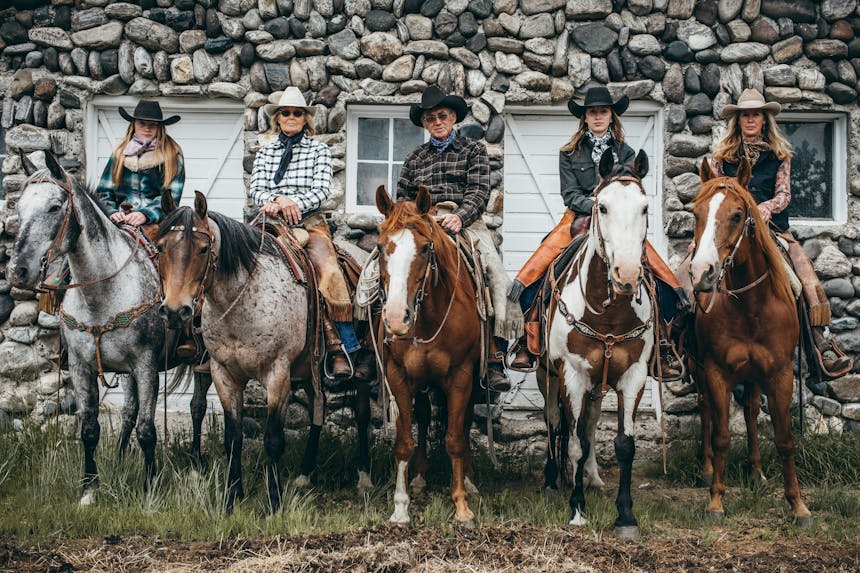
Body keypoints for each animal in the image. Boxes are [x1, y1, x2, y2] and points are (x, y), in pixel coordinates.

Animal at [7, 151, 191, 500]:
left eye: (55, 206)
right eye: (19, 208)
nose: (17, 270)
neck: (102, 292)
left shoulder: (146, 366)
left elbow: (148, 429)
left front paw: (150, 486)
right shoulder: (82, 367)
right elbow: (90, 428)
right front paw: (89, 490)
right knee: (128, 412)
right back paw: (120, 459)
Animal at [156, 191, 372, 510]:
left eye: (203, 248)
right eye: (160, 247)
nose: (174, 311)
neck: (242, 298)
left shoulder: (277, 374)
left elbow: (274, 439)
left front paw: (274, 501)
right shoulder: (223, 374)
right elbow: (233, 438)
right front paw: (231, 498)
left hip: (363, 368)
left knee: (362, 413)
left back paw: (364, 477)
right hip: (309, 370)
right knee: (317, 411)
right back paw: (305, 473)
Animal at [376, 185, 484, 524]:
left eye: (425, 248)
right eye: (380, 247)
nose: (396, 319)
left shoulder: (462, 375)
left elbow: (454, 439)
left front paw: (461, 505)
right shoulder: (398, 374)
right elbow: (403, 442)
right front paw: (400, 507)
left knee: (464, 423)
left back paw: (471, 481)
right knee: (423, 417)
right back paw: (421, 477)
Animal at [540, 150, 656, 540]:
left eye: (645, 207)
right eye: (601, 206)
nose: (627, 275)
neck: (609, 315)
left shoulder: (633, 376)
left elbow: (624, 445)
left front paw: (626, 515)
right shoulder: (572, 375)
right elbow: (574, 442)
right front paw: (576, 510)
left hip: (597, 384)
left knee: (590, 424)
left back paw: (591, 478)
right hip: (548, 376)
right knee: (555, 422)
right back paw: (551, 481)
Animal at [684, 159, 812, 524]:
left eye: (738, 215)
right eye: (695, 213)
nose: (702, 273)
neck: (751, 305)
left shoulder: (781, 373)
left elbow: (784, 439)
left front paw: (798, 505)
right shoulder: (716, 371)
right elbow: (722, 435)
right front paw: (716, 500)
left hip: (756, 374)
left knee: (753, 411)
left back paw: (756, 472)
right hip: (700, 368)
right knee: (706, 409)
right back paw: (706, 468)